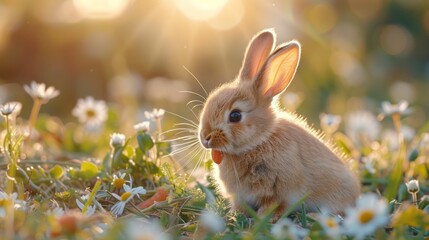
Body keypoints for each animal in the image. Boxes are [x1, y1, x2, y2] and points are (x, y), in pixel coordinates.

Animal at [199, 28, 360, 219]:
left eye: (235, 116)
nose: (205, 138)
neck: (260, 140)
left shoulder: (282, 188)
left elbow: (276, 204)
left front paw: (264, 217)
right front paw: (234, 215)